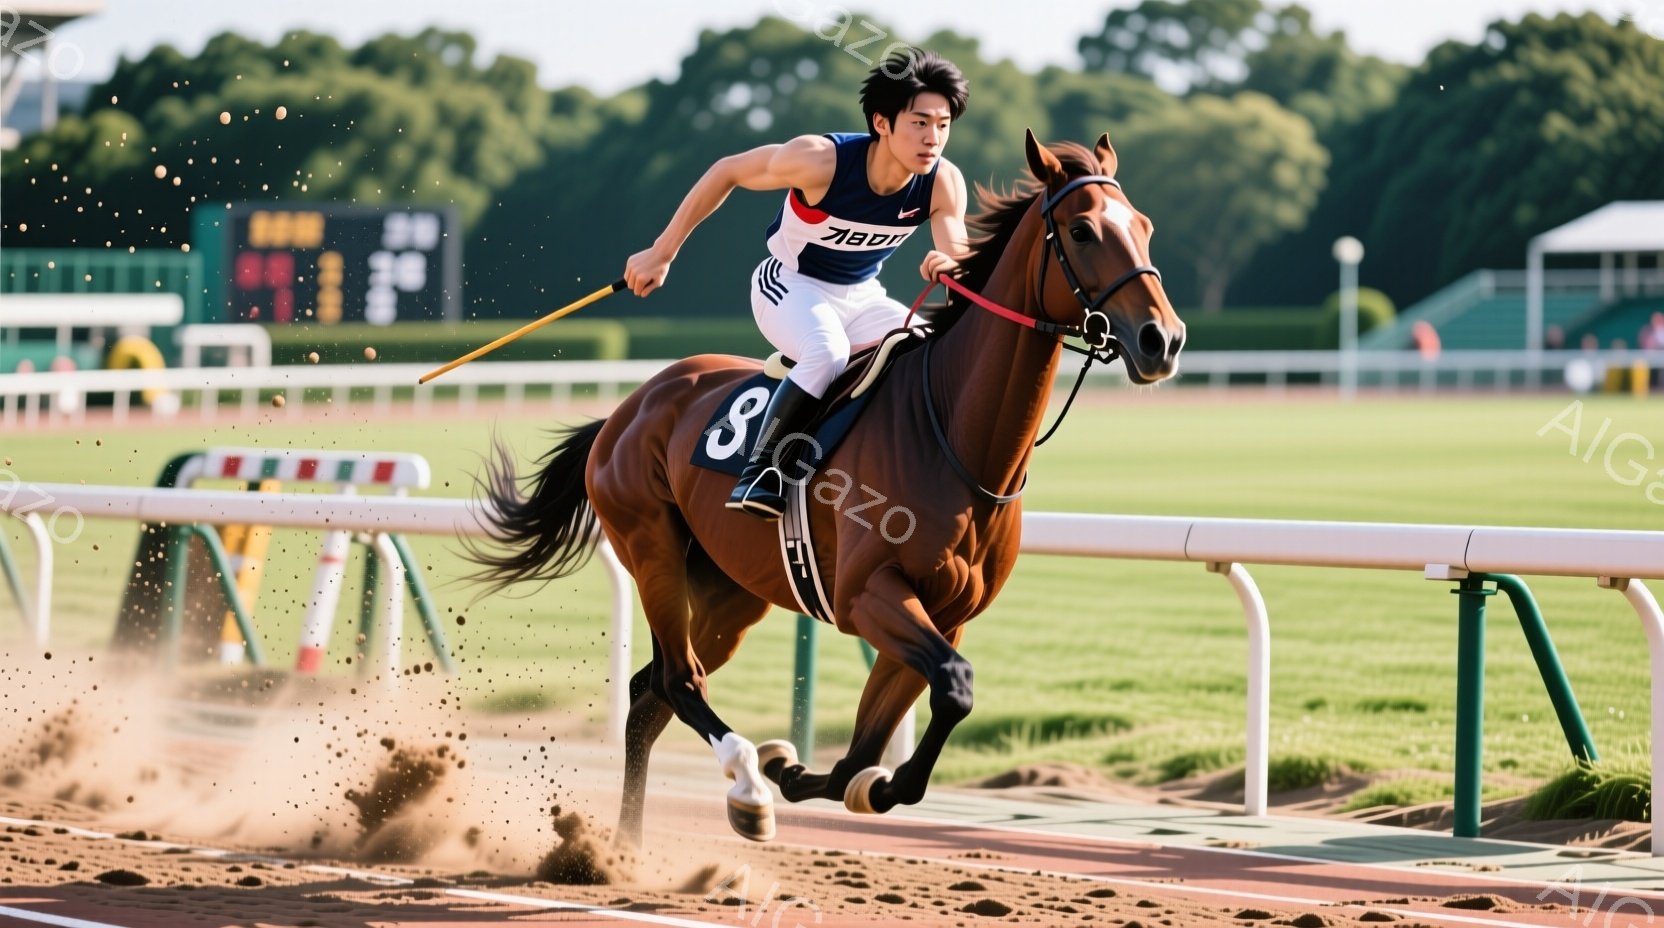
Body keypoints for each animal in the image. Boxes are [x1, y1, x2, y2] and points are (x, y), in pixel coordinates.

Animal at [469, 129, 1184, 848]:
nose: (1163, 339)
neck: (954, 436)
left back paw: (630, 846)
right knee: (678, 679)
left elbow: (871, 752)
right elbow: (952, 687)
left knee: (652, 697)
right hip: (652, 549)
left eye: (1145, 226)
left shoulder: (945, 614)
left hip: (731, 592)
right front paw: (782, 771)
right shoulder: (869, 594)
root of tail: (630, 406)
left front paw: (812, 771)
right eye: (1083, 230)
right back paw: (744, 785)